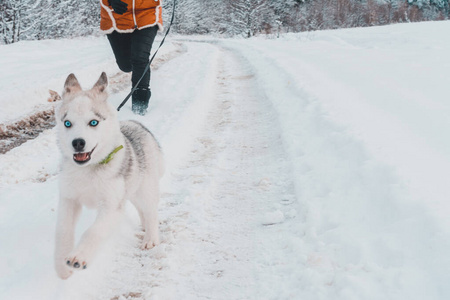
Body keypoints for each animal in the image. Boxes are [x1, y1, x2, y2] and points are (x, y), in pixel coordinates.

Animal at [54, 72, 163, 278]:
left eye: (93, 122)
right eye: (67, 123)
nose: (77, 143)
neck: (88, 170)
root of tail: (136, 123)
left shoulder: (111, 206)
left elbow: (93, 232)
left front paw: (78, 257)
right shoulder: (68, 200)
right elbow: (63, 231)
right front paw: (62, 267)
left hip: (145, 189)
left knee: (151, 212)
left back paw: (150, 238)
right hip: (131, 190)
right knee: (141, 209)